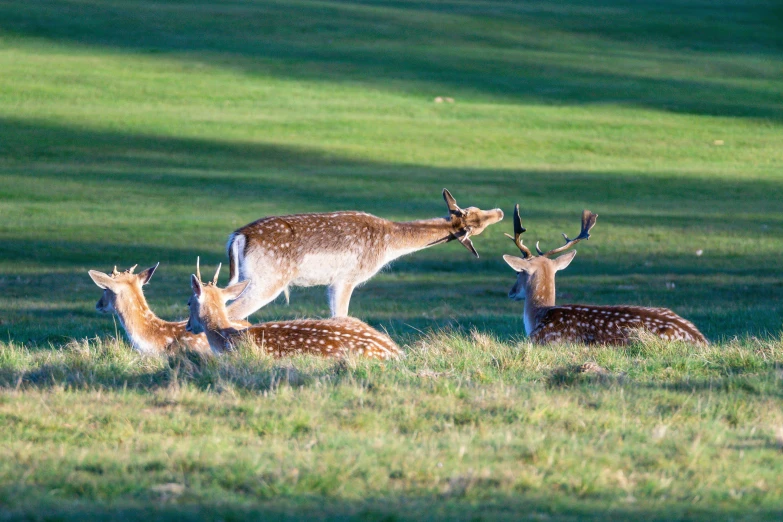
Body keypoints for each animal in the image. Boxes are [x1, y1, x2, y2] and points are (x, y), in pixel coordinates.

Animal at [224, 187, 506, 316]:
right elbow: (341, 316)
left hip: (245, 279)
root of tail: (238, 236)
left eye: (475, 209)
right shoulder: (347, 278)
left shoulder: (334, 282)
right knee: (230, 313)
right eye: (476, 220)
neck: (389, 244)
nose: (501, 212)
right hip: (268, 280)